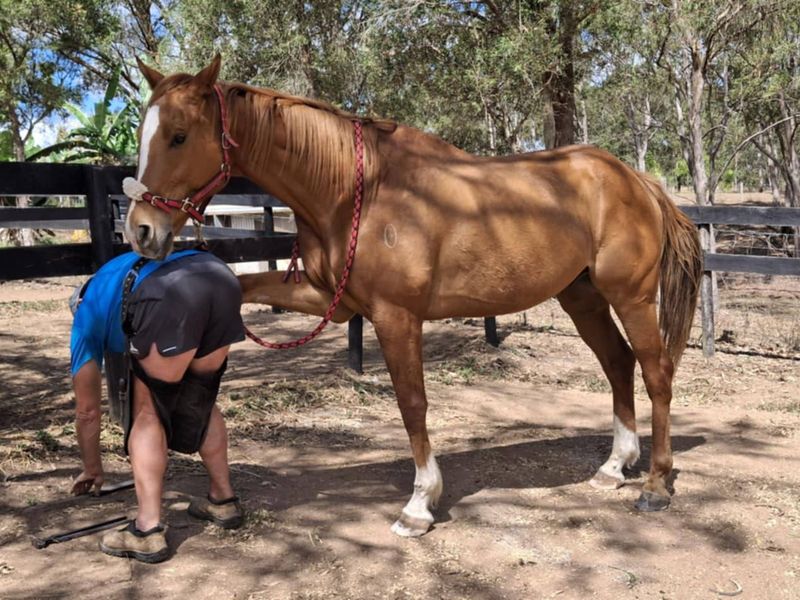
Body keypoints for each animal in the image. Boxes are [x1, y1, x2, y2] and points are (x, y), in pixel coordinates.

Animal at [123, 55, 702, 537]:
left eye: (178, 136)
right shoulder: (328, 300)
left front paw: (420, 505)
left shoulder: (395, 316)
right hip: (582, 299)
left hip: (630, 298)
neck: (355, 192)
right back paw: (613, 467)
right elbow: (238, 285)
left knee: (655, 372)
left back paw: (655, 484)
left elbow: (412, 402)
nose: (141, 231)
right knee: (617, 364)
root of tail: (635, 179)